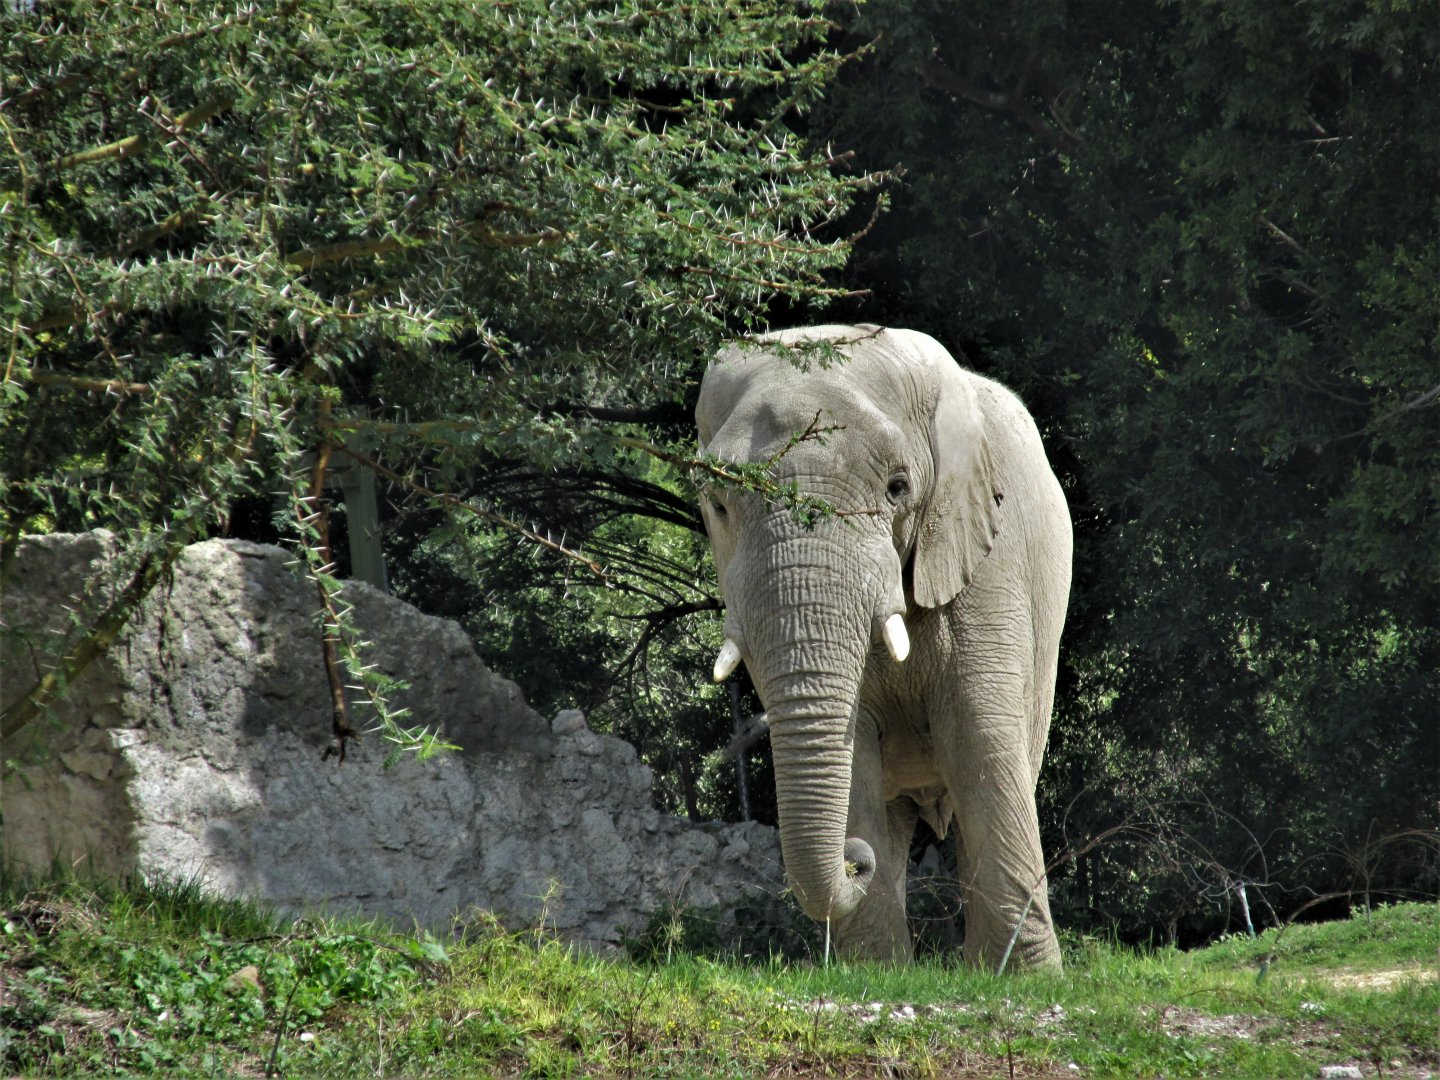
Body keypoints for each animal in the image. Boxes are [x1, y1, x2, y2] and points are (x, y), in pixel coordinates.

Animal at [696, 324, 1071, 969]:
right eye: (719, 503)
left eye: (898, 488)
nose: (853, 860)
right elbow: (855, 756)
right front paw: (874, 973)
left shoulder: (988, 557)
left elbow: (978, 733)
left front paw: (1026, 978)